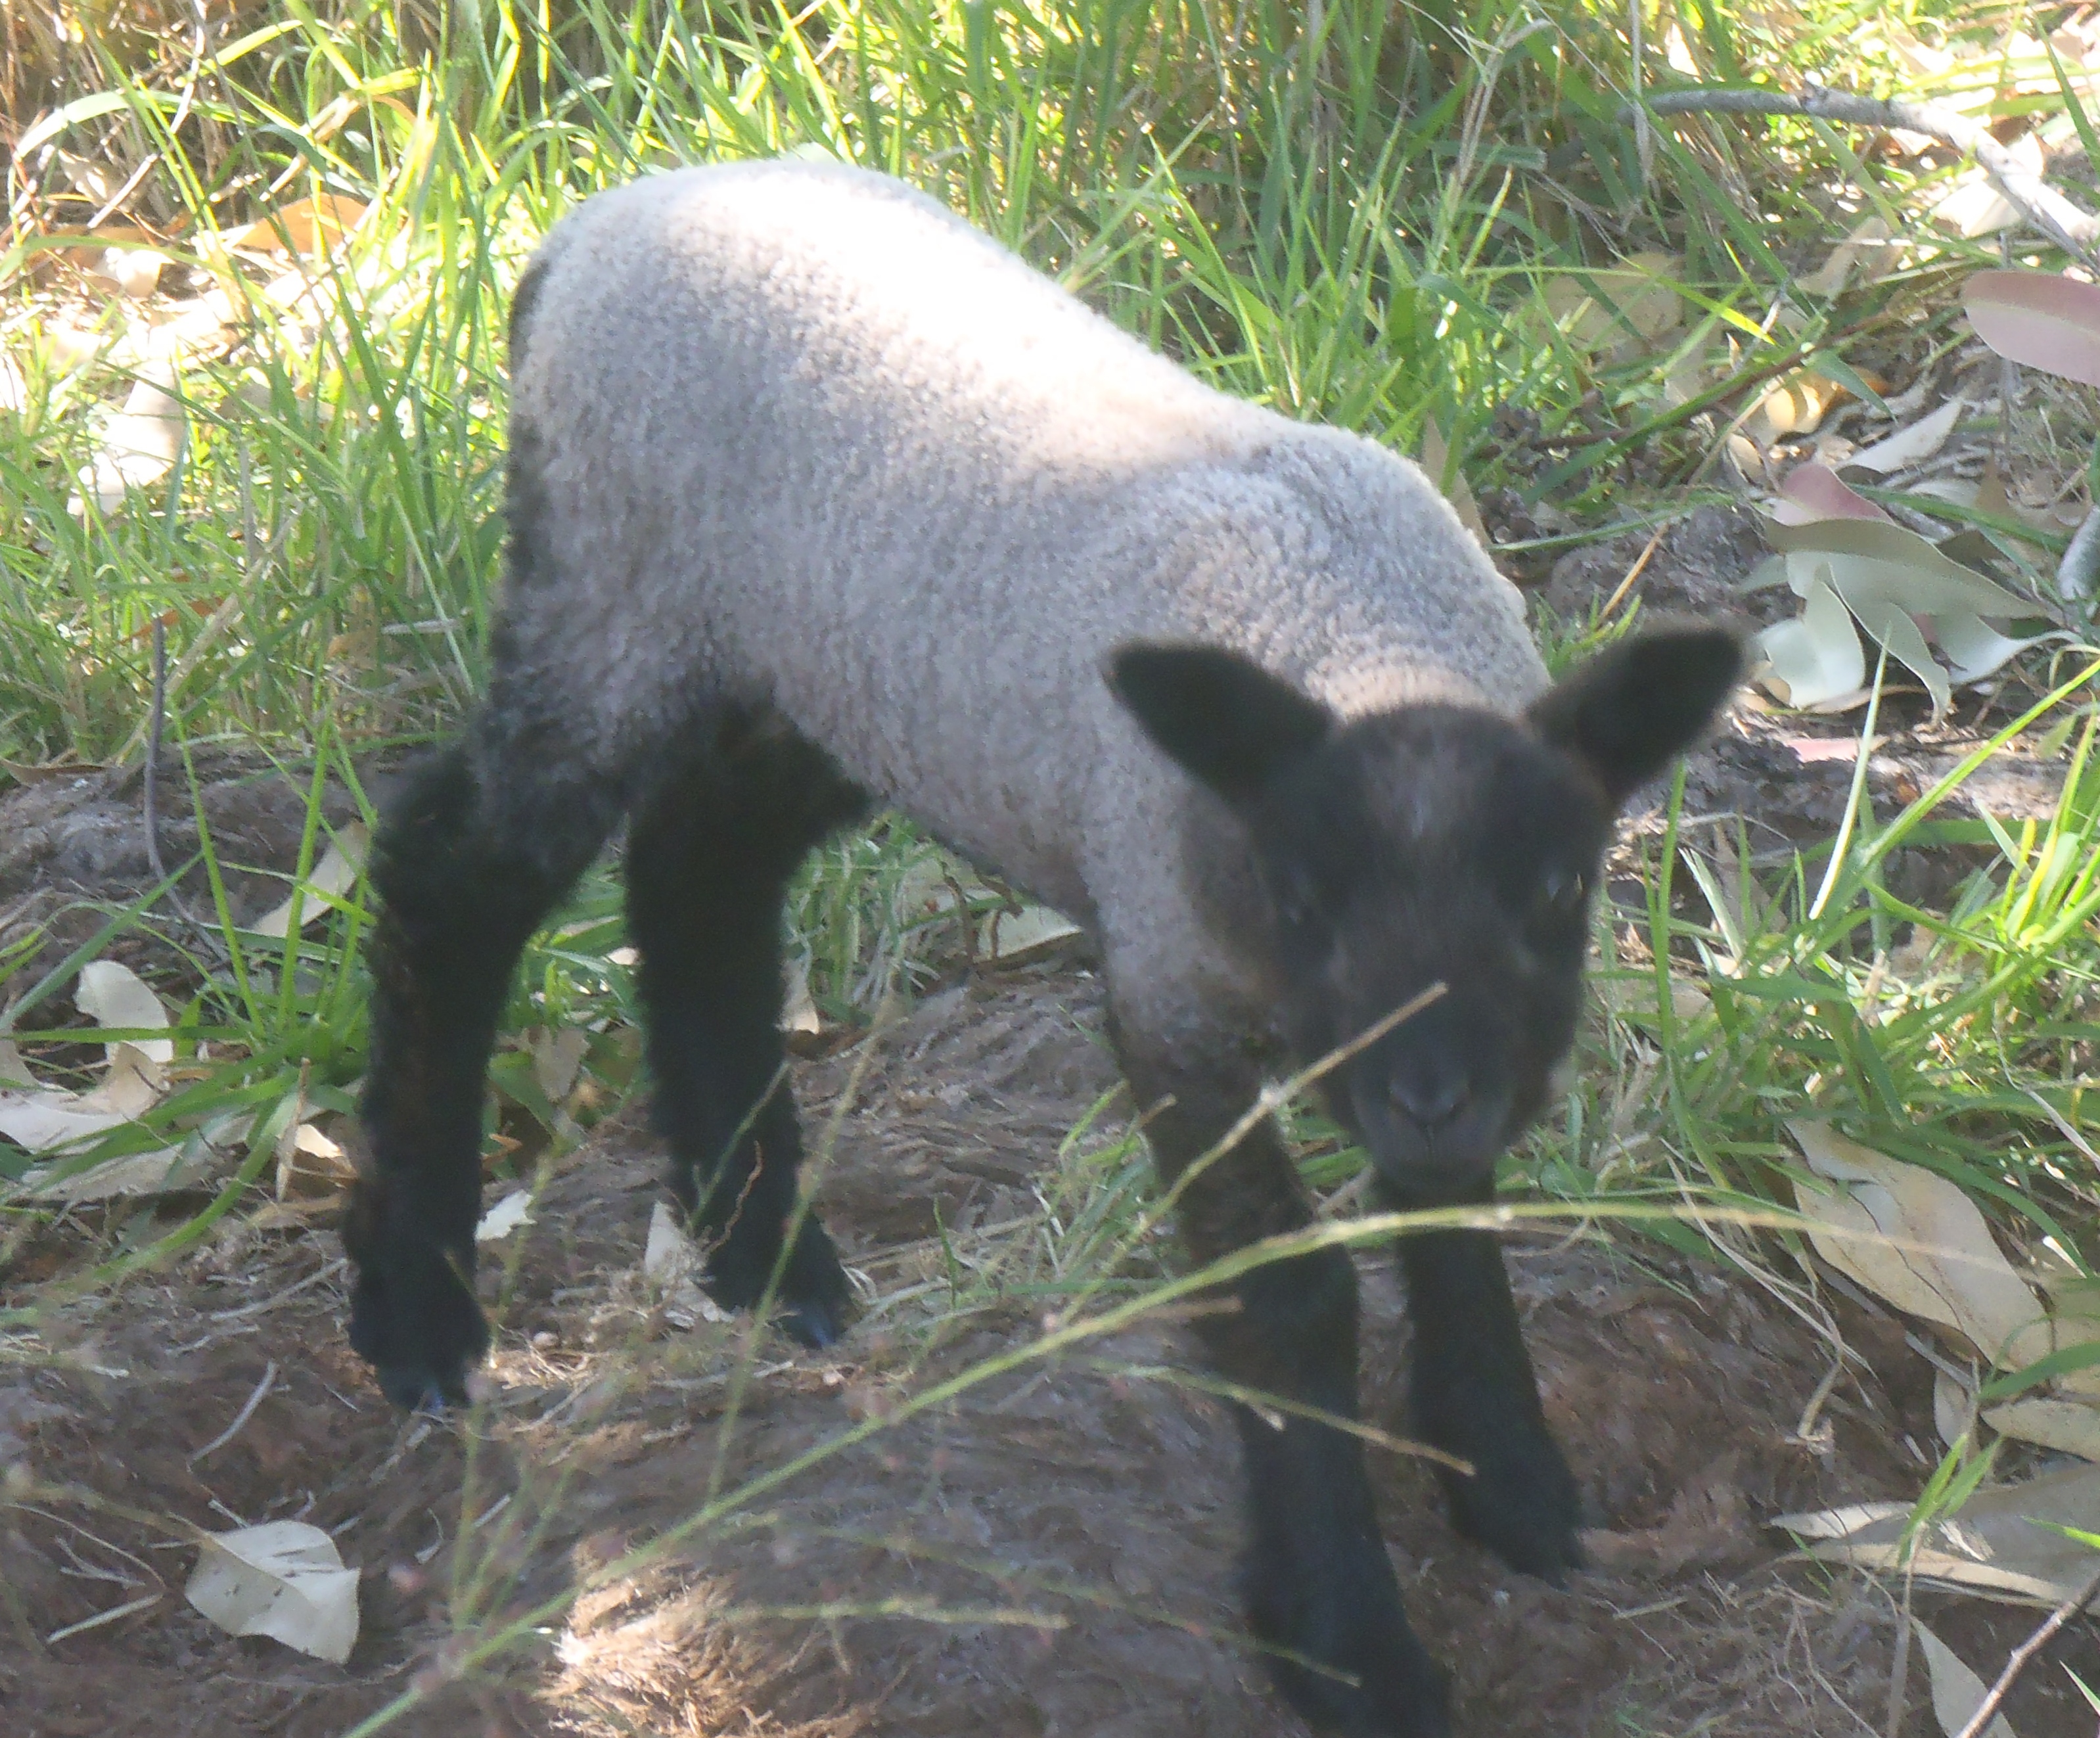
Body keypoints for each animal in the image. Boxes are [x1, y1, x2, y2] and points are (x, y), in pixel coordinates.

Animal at [344, 159, 1739, 1738]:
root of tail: (597, 221)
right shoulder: (1168, 994)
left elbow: (1446, 1222)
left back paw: (767, 1253)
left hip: (834, 674)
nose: (1433, 1096)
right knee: (452, 879)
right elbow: (1289, 1300)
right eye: (1301, 895)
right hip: (608, 604)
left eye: (1560, 887)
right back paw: (421, 1315)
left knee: (699, 873)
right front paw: (1348, 1641)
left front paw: (1509, 1479)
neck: (1354, 639)